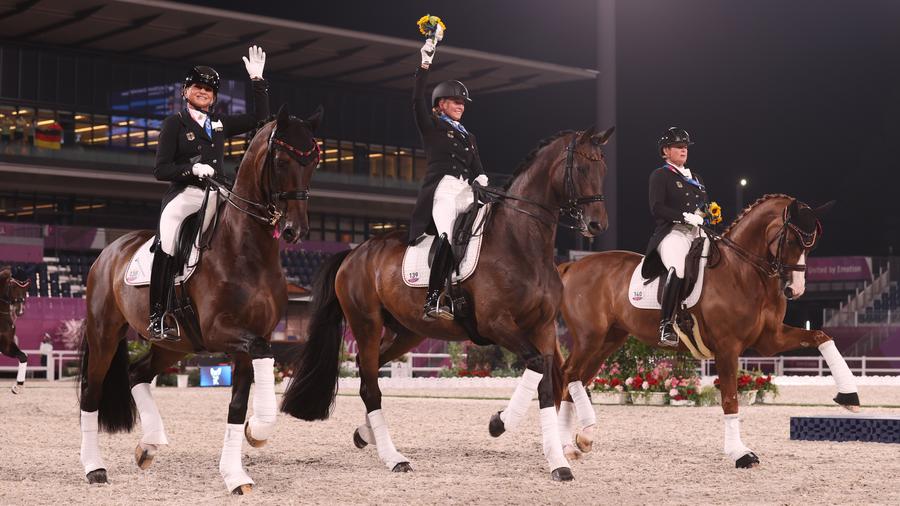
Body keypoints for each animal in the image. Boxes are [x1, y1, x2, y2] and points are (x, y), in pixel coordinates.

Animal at [77, 104, 324, 494]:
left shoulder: (251, 339)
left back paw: (149, 445)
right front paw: (258, 432)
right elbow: (262, 359)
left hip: (174, 345)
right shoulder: (221, 332)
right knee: (92, 392)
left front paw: (238, 469)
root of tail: (110, 250)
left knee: (137, 373)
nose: (294, 231)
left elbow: (237, 406)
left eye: (314, 160)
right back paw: (94, 468)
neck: (245, 249)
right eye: (282, 160)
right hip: (105, 333)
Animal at [284, 127, 616, 482]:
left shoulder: (542, 327)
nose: (597, 225)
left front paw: (558, 463)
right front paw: (499, 423)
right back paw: (394, 458)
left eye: (603, 169)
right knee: (371, 387)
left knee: (367, 369)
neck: (521, 243)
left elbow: (544, 385)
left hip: (407, 332)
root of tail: (354, 251)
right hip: (366, 324)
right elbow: (538, 366)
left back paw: (365, 434)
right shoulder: (496, 324)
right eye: (580, 168)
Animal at [556, 196, 856, 468]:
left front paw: (849, 396)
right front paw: (740, 453)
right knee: (569, 374)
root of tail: (573, 265)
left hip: (608, 341)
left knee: (576, 379)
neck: (743, 271)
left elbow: (822, 337)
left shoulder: (770, 340)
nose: (795, 290)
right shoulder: (727, 347)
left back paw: (575, 443)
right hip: (590, 338)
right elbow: (731, 400)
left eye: (812, 245)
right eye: (792, 241)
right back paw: (571, 440)